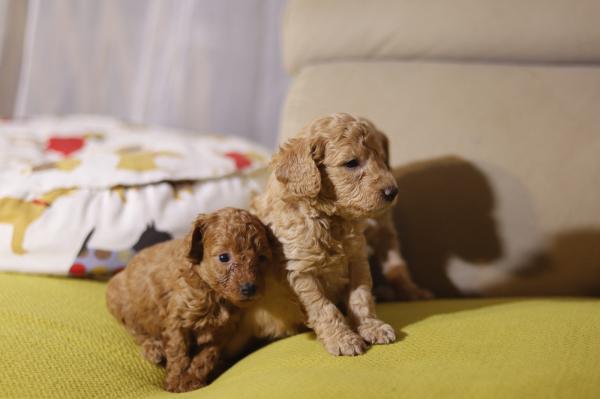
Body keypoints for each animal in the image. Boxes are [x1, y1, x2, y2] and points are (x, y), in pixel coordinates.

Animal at [106, 209, 272, 394]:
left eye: (262, 258)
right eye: (224, 257)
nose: (249, 288)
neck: (213, 293)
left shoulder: (222, 331)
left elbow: (206, 356)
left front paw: (191, 379)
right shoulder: (177, 320)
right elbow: (178, 352)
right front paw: (176, 382)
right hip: (121, 303)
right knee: (137, 330)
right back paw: (154, 349)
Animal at [252, 112, 398, 356]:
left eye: (381, 158)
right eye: (351, 163)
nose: (393, 191)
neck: (329, 218)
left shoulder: (357, 259)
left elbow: (361, 298)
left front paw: (372, 327)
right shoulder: (301, 270)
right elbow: (324, 308)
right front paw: (343, 339)